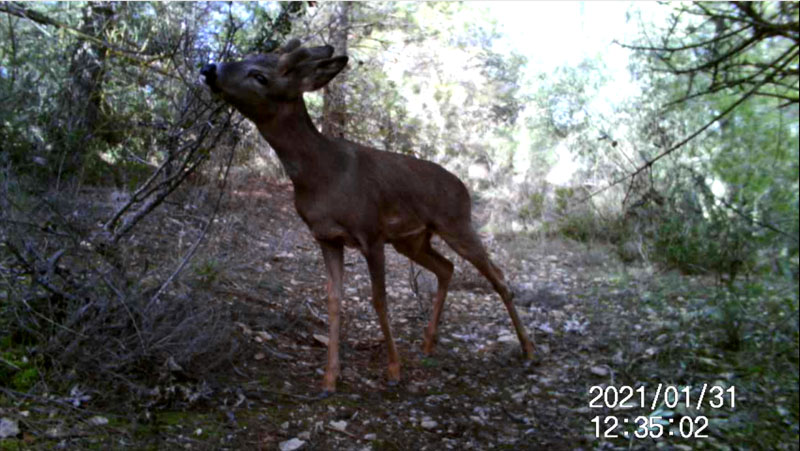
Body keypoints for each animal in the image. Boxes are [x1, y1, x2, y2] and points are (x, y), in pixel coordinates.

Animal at [202, 40, 536, 398]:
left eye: (260, 76)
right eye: (248, 57)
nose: (209, 69)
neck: (322, 176)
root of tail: (464, 187)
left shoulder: (371, 232)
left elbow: (379, 300)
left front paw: (393, 371)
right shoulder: (326, 237)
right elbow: (334, 300)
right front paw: (329, 379)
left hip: (456, 223)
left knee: (497, 276)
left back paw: (529, 349)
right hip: (412, 240)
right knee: (447, 268)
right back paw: (428, 344)